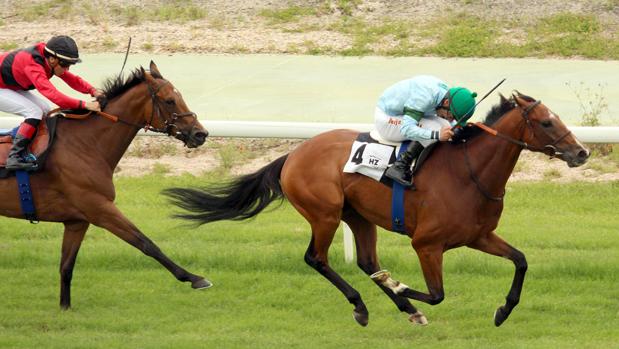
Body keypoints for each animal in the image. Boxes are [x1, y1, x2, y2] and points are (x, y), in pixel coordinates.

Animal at [0, 61, 211, 308]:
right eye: (170, 100)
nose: (201, 134)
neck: (86, 144)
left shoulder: (77, 221)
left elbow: (66, 267)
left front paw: (65, 307)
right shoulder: (100, 209)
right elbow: (146, 243)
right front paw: (194, 278)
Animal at [165, 92, 592, 326]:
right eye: (546, 122)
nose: (581, 152)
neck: (470, 172)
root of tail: (294, 154)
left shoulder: (479, 236)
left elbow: (520, 261)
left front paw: (503, 311)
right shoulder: (427, 245)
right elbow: (437, 294)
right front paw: (400, 285)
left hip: (358, 217)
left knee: (367, 261)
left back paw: (403, 307)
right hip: (325, 213)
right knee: (317, 258)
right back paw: (364, 306)